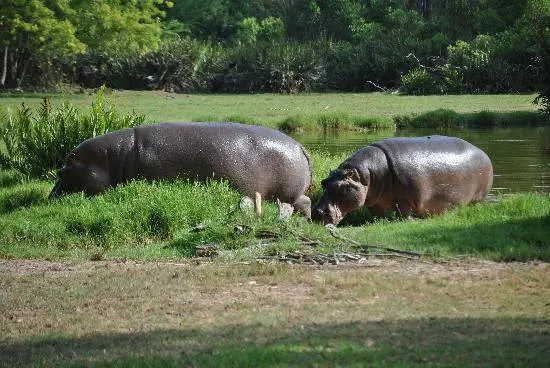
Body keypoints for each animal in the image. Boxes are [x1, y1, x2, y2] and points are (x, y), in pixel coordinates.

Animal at [50, 122, 314, 217]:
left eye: (61, 172)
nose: (49, 197)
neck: (114, 157)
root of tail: (300, 146)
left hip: (289, 192)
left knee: (304, 202)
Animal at [312, 136, 498, 224]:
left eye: (342, 186)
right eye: (324, 182)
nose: (317, 212)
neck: (368, 175)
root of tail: (483, 152)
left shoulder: (408, 199)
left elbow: (404, 214)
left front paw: (412, 220)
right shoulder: (376, 202)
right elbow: (380, 214)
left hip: (478, 198)